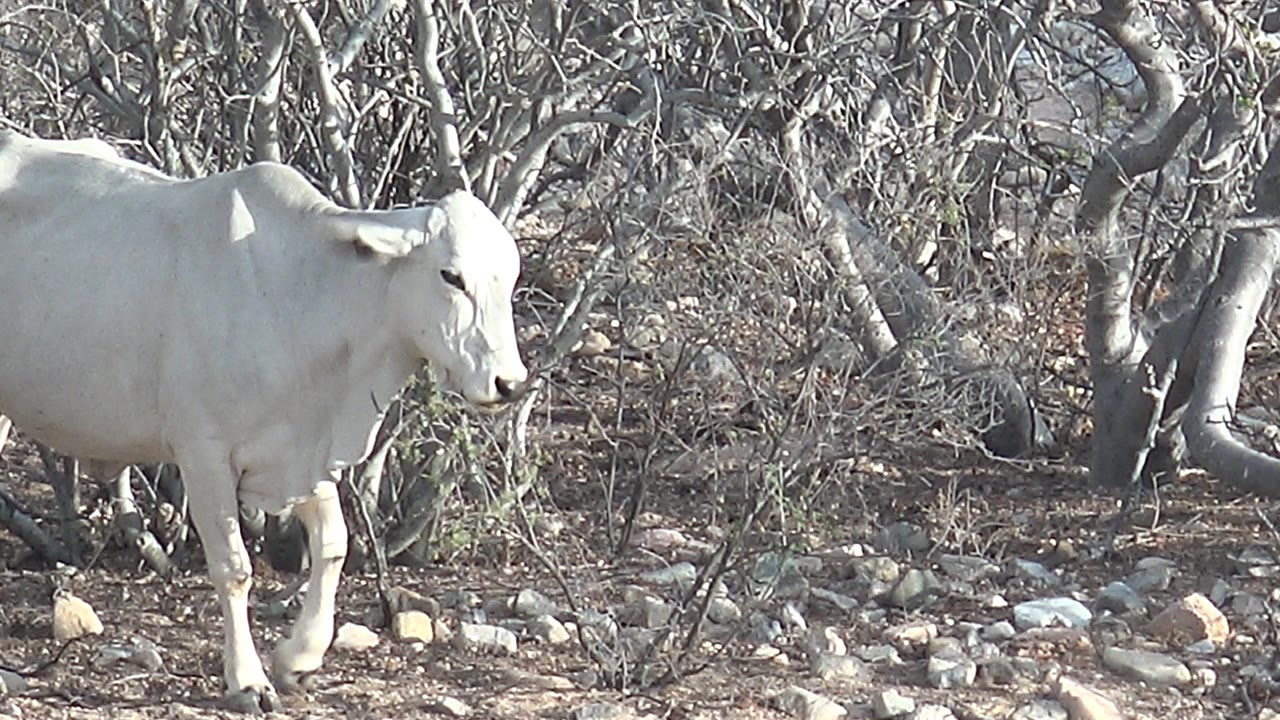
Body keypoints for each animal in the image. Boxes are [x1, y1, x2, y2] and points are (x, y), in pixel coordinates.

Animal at [0, 130, 528, 712]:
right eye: (451, 276)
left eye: (510, 278)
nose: (509, 383)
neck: (301, 294)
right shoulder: (203, 452)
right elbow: (234, 569)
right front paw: (248, 680)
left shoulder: (303, 451)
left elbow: (333, 543)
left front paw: (300, 657)